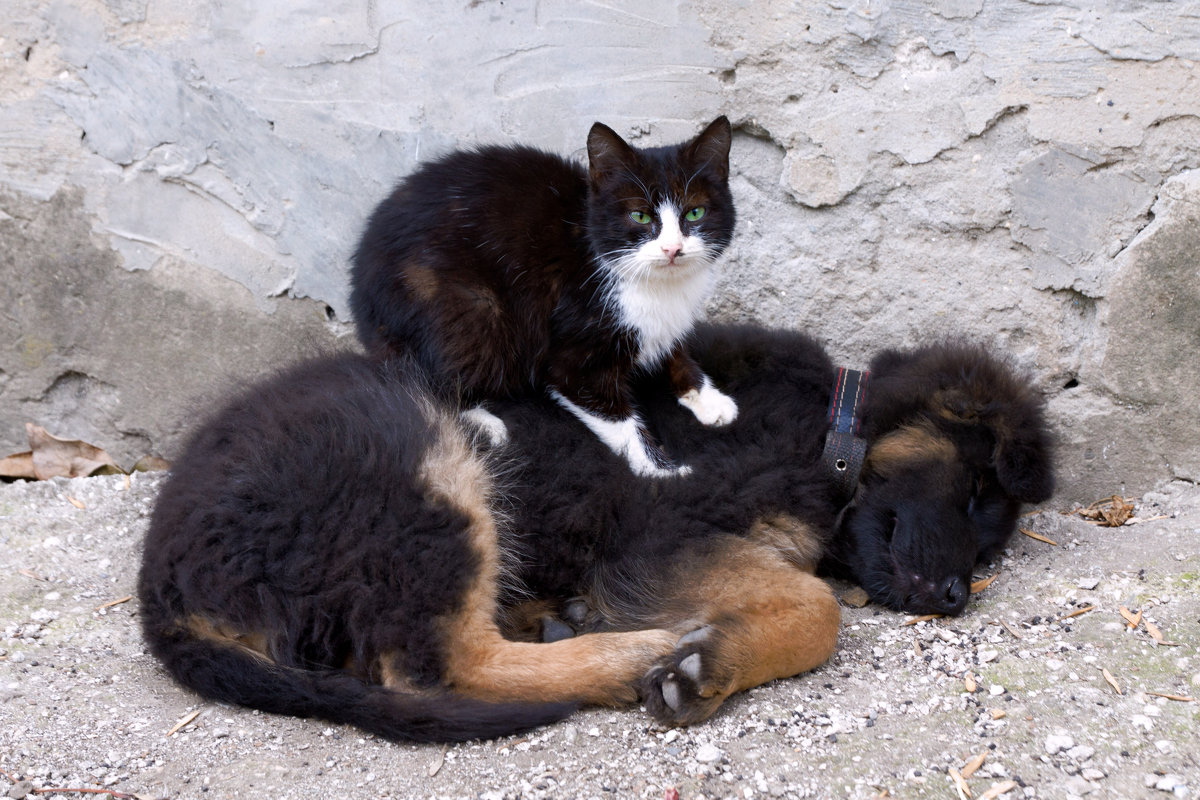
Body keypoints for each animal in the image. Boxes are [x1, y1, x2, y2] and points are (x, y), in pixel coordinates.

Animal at [140, 321, 1056, 743]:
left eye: (993, 536)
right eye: (975, 489)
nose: (954, 596)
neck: (824, 430)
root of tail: (161, 581)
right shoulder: (660, 531)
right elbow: (819, 610)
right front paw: (704, 667)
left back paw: (562, 621)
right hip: (425, 460)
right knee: (442, 665)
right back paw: (630, 654)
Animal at [350, 113, 734, 474]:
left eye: (695, 212)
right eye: (639, 216)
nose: (673, 249)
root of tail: (360, 295)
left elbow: (675, 350)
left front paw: (707, 398)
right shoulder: (573, 348)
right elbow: (612, 412)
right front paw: (663, 470)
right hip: (470, 307)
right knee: (425, 382)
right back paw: (484, 423)